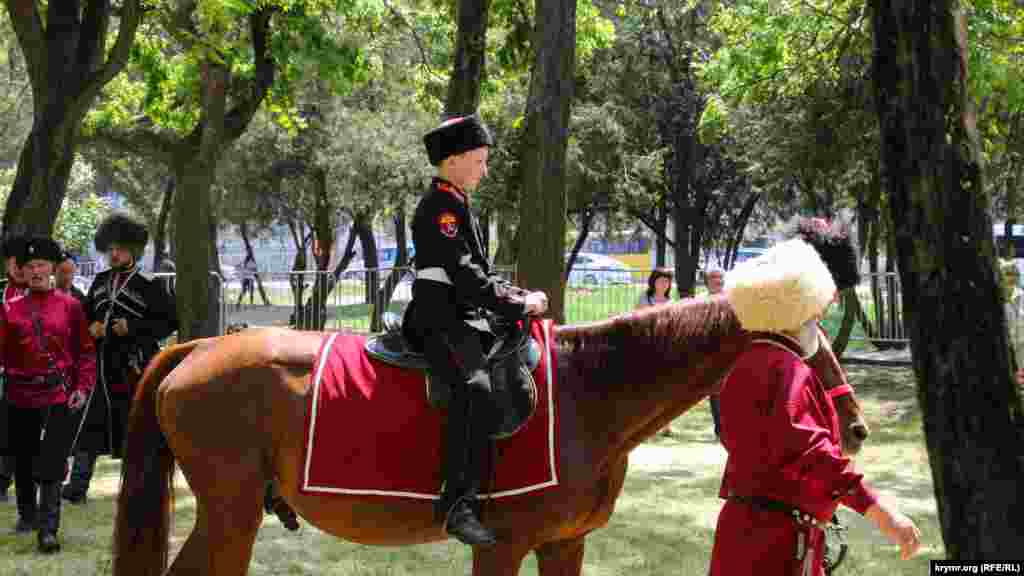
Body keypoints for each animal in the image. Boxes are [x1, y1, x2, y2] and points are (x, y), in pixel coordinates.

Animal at [110, 295, 864, 573]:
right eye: (809, 336)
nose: (853, 425)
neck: (589, 388)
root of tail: (200, 347)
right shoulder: (503, 546)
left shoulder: (563, 544)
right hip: (230, 514)